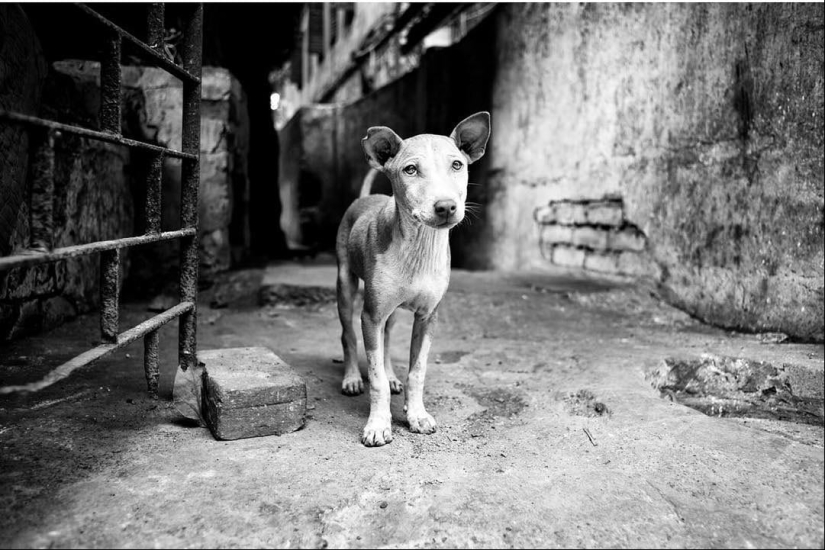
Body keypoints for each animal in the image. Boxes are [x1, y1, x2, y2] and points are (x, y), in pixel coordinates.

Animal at [334, 112, 490, 448]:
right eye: (410, 169)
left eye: (457, 165)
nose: (446, 207)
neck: (418, 247)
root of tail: (365, 198)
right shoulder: (370, 314)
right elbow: (375, 377)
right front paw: (378, 424)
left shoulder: (428, 316)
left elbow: (417, 371)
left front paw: (416, 414)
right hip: (345, 287)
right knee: (348, 336)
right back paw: (351, 378)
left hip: (390, 313)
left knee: (386, 339)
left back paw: (393, 376)